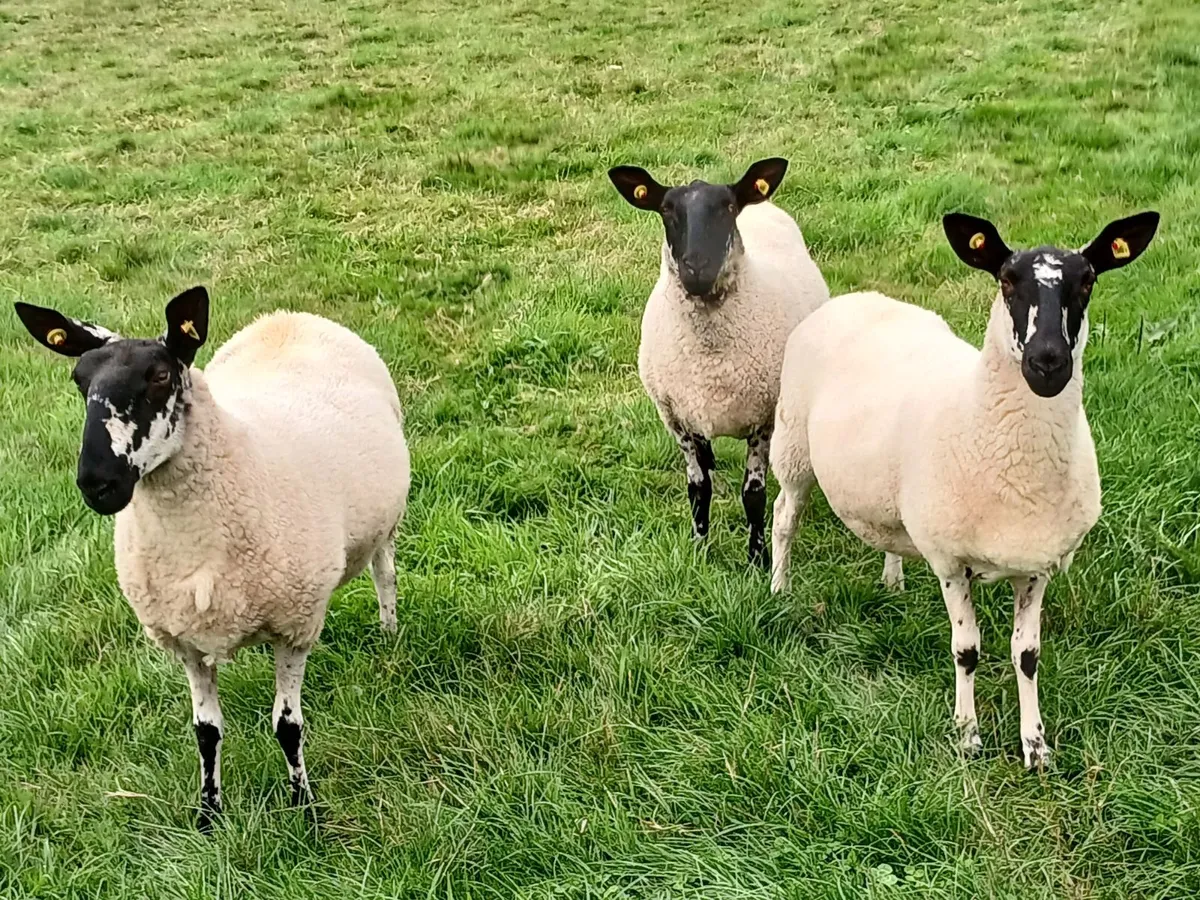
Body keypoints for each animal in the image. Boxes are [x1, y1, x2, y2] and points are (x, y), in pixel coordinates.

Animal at [14, 286, 411, 828]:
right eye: (80, 380)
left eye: (160, 375)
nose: (97, 483)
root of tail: (286, 318)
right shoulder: (184, 640)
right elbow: (206, 731)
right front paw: (208, 815)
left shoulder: (296, 624)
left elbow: (288, 726)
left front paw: (305, 809)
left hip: (386, 521)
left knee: (384, 574)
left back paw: (390, 633)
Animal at [607, 157, 830, 566]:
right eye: (666, 209)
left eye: (727, 207)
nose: (697, 267)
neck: (710, 360)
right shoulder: (676, 417)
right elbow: (698, 489)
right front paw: (699, 549)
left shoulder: (763, 418)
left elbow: (753, 494)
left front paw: (757, 559)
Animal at [768, 211, 1160, 767]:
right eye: (1006, 280)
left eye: (1087, 282)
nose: (1048, 362)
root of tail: (855, 297)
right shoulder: (951, 563)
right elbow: (967, 650)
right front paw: (967, 736)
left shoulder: (1036, 563)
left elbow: (1027, 655)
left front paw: (1035, 745)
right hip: (793, 444)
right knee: (785, 516)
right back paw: (779, 588)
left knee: (886, 534)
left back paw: (892, 580)